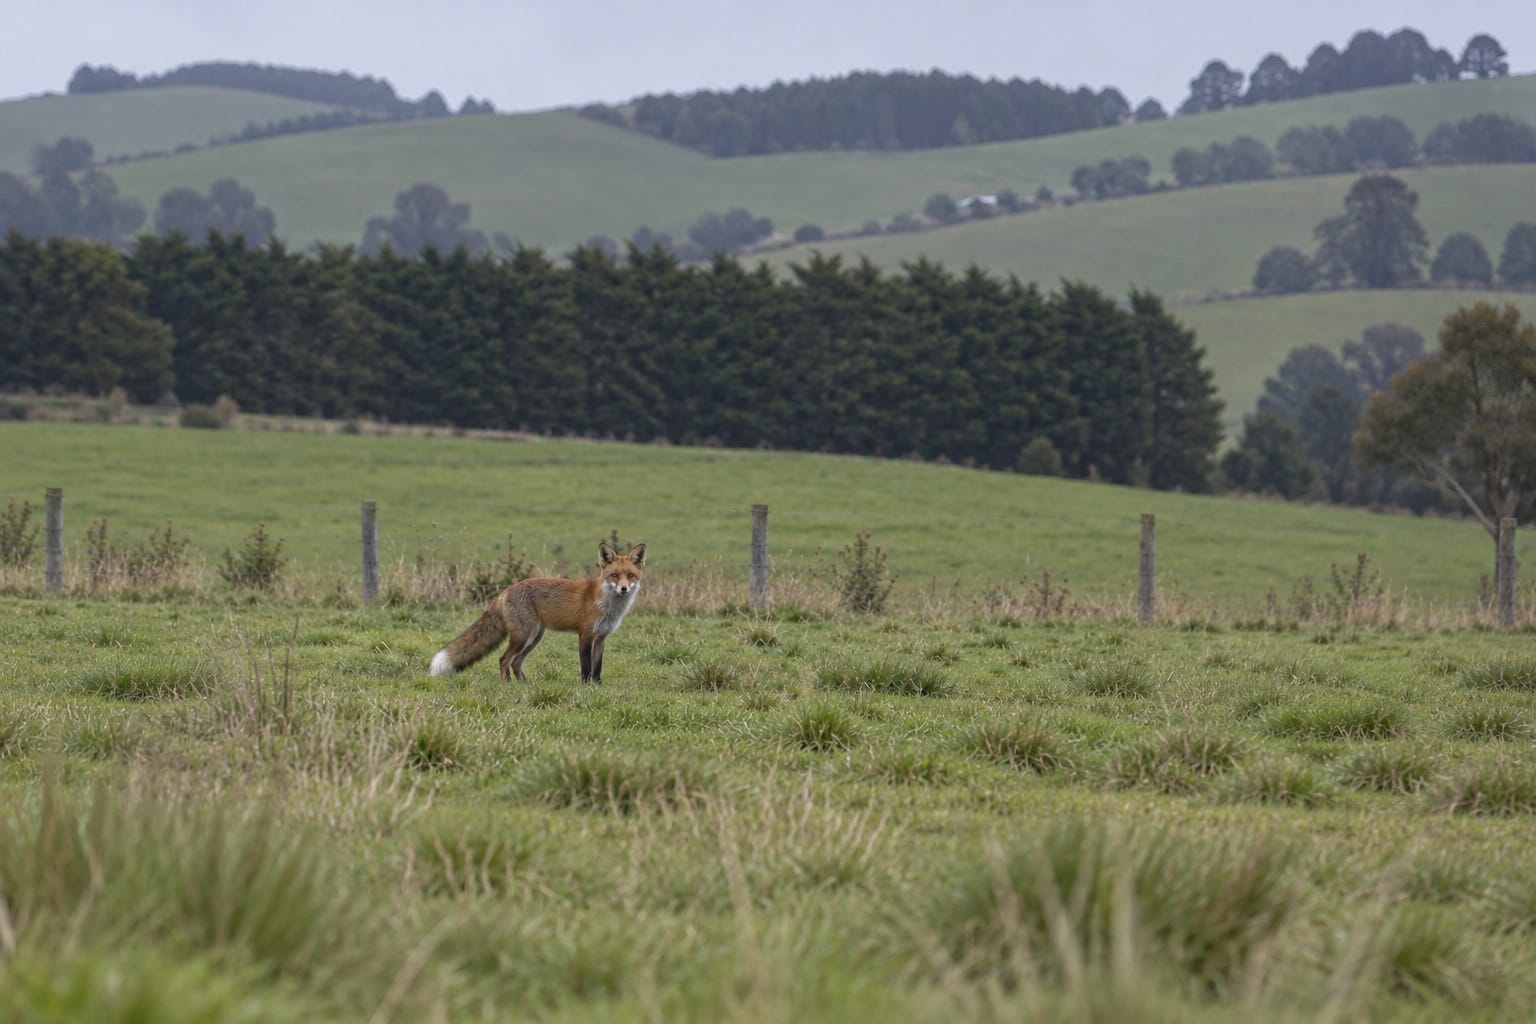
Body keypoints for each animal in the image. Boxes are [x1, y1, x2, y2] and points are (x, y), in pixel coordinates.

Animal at [429, 541, 646, 683]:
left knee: (516, 663)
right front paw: (585, 686)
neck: (607, 605)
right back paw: (508, 685)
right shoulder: (585, 635)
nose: (624, 589)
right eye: (614, 575)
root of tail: (506, 591)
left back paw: (525, 685)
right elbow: (586, 667)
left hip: (534, 638)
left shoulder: (601, 638)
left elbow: (597, 667)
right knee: (504, 659)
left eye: (630, 575)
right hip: (522, 636)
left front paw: (597, 686)